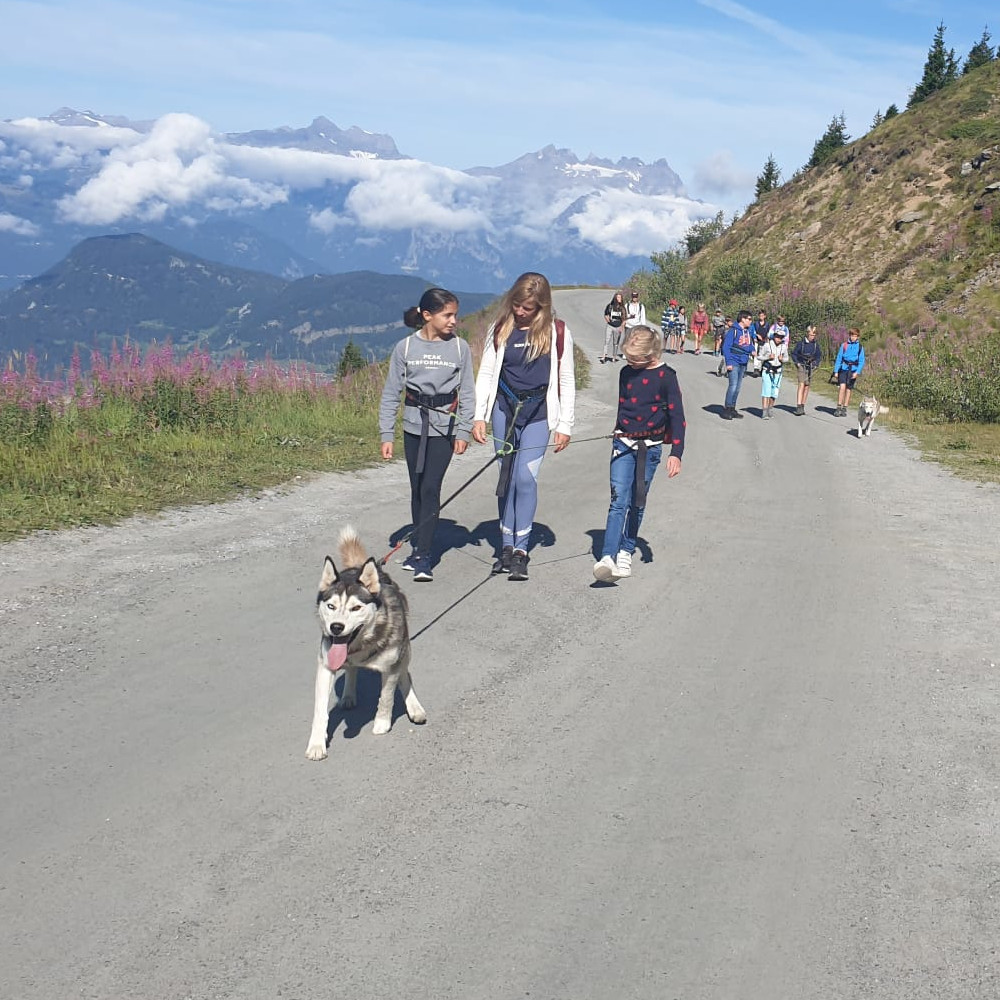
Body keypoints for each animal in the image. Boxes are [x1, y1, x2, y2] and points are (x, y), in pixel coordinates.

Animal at [306, 524, 428, 756]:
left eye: (356, 608)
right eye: (331, 606)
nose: (336, 627)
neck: (360, 646)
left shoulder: (391, 666)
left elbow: (386, 696)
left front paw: (382, 723)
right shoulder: (325, 666)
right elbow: (319, 710)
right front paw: (317, 743)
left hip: (405, 649)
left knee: (405, 674)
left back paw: (414, 707)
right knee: (351, 669)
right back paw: (348, 695)